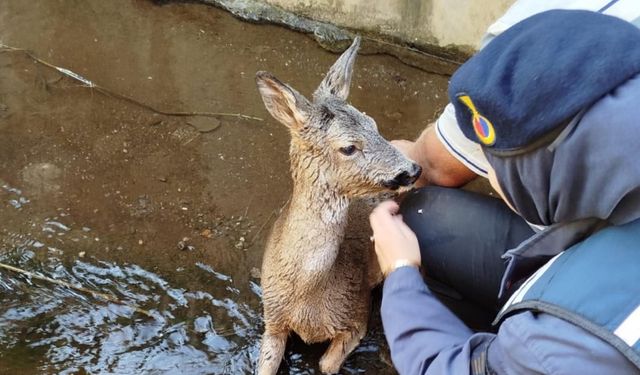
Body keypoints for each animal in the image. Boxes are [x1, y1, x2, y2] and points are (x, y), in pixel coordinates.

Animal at [255, 37, 424, 375]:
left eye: (374, 124)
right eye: (348, 147)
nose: (412, 169)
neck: (307, 299)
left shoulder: (357, 313)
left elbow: (326, 364)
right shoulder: (272, 318)